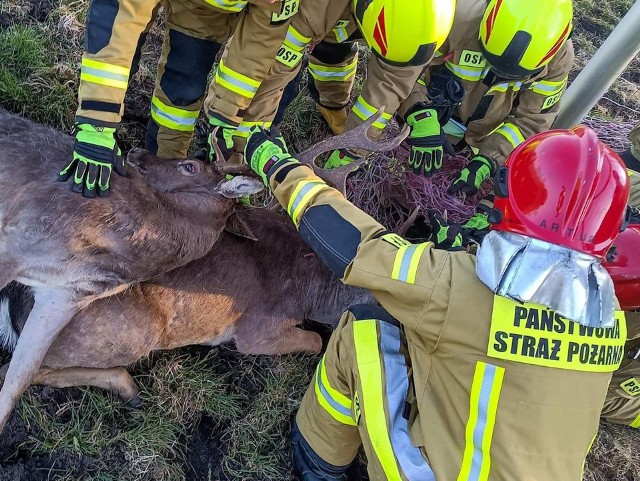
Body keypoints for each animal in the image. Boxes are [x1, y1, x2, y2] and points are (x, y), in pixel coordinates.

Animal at [0, 108, 410, 428]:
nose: (135, 152)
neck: (312, 290)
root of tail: (14, 309)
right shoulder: (257, 330)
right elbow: (315, 341)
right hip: (131, 330)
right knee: (16, 371)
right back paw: (129, 388)